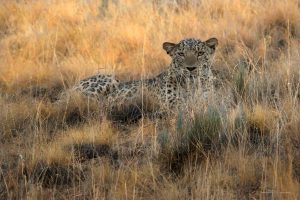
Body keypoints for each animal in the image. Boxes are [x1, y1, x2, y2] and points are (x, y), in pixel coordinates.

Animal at [72, 36, 218, 110]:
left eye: (200, 53)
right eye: (181, 54)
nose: (191, 68)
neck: (192, 86)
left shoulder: (208, 97)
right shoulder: (168, 101)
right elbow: (184, 103)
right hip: (109, 79)